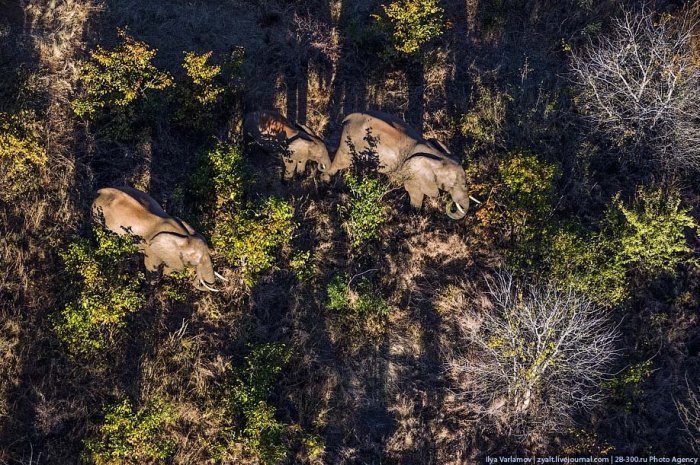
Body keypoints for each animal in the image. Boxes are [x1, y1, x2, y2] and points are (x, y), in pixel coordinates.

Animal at [91, 185, 226, 290]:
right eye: (196, 261)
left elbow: (170, 267)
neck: (184, 236)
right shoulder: (151, 248)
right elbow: (152, 267)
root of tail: (100, 191)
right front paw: (150, 287)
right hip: (97, 216)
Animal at [326, 110, 474, 218]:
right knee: (341, 161)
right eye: (453, 184)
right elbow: (415, 193)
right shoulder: (413, 174)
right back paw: (326, 183)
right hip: (349, 140)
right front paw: (415, 215)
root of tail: (348, 117)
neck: (439, 156)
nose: (451, 204)